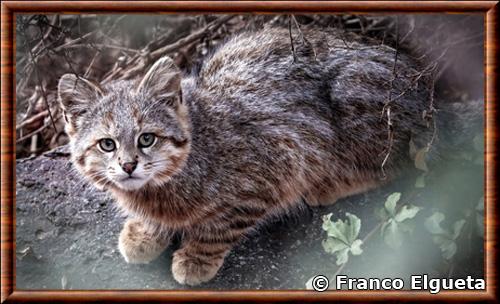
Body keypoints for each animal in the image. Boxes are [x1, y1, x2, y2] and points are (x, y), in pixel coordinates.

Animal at [56, 26, 478, 284]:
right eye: (107, 144)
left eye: (147, 139)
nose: (128, 165)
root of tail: (426, 95)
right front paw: (144, 231)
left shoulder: (278, 167)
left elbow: (220, 226)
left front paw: (195, 258)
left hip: (358, 105)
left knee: (401, 164)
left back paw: (331, 185)